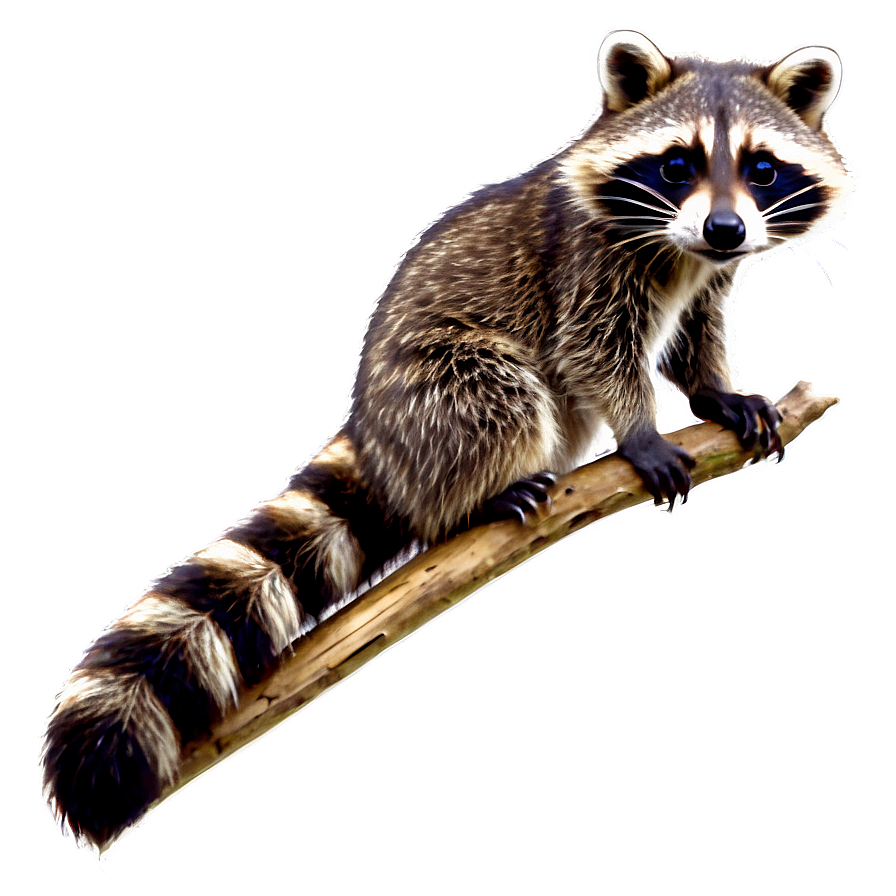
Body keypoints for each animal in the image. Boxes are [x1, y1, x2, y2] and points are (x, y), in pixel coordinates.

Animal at [38, 28, 855, 858]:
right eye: (677, 163)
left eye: (761, 168)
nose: (725, 230)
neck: (683, 247)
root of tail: (372, 430)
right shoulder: (586, 259)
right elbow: (592, 350)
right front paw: (640, 430)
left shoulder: (704, 273)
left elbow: (693, 336)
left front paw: (717, 390)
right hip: (434, 391)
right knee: (502, 389)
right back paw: (478, 498)